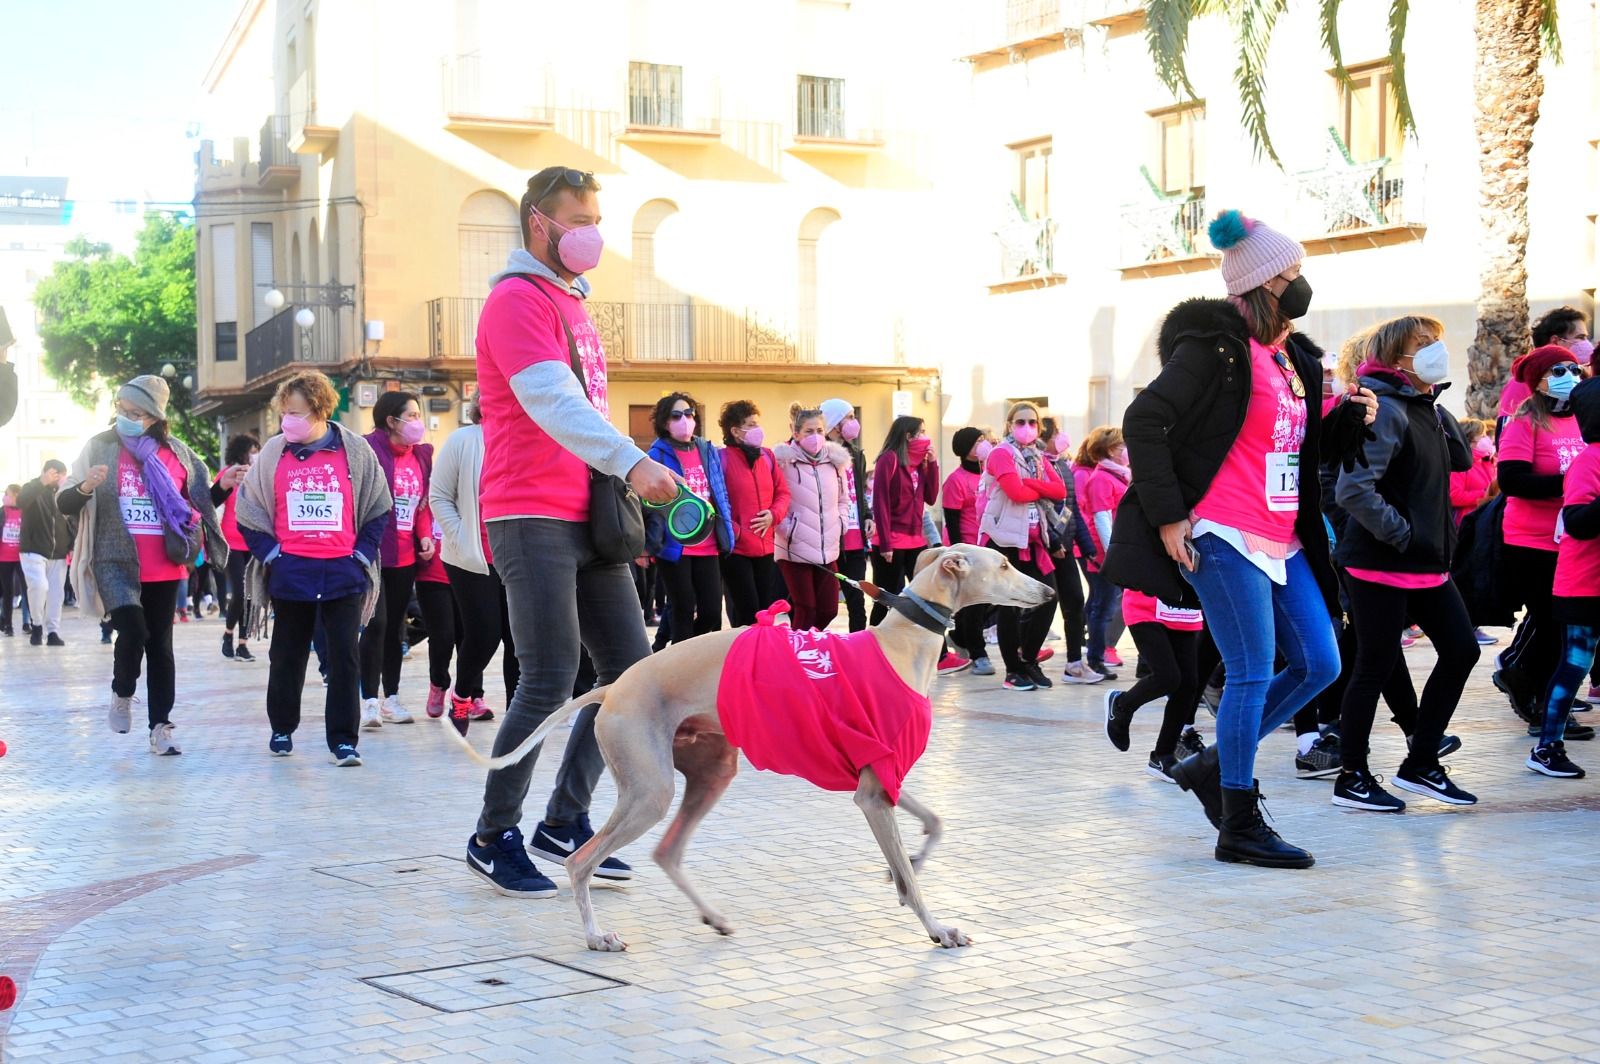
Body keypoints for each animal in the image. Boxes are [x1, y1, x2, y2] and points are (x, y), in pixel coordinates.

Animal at [444, 544, 1056, 947]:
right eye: (1004, 564)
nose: (1049, 589)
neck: (901, 643)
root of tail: (612, 687)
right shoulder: (872, 796)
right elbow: (911, 872)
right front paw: (935, 925)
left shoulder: (881, 776)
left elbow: (933, 826)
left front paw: (907, 871)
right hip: (650, 789)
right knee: (579, 861)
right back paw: (598, 936)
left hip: (708, 773)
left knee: (667, 852)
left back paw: (713, 918)